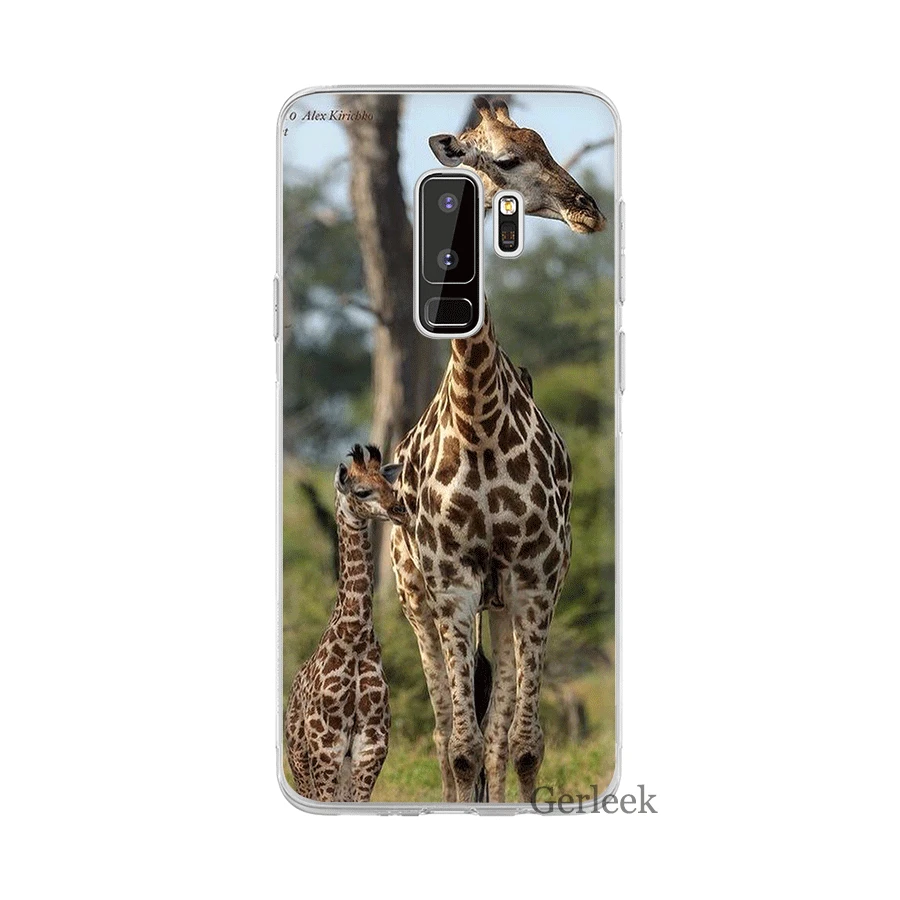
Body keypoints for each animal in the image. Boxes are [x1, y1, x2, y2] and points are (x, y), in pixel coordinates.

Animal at [285, 444, 407, 802]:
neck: (354, 636)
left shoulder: (371, 745)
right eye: (362, 491)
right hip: (301, 763)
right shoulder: (326, 747)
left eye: (389, 484)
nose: (400, 511)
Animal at [390, 97, 606, 803]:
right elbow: (460, 749)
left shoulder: (536, 577)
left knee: (497, 736)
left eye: (547, 147)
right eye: (506, 160)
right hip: (417, 602)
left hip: (507, 603)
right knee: (443, 737)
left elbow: (523, 745)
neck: (478, 417)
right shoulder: (452, 581)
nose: (587, 208)